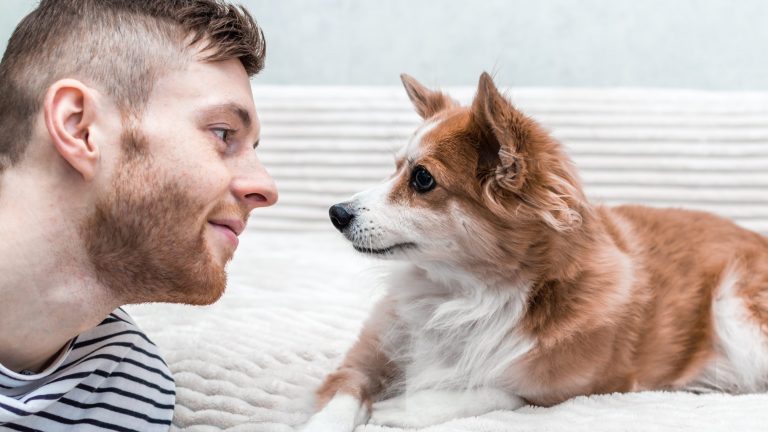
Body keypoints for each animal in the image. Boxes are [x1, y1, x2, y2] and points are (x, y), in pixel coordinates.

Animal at [302, 72, 768, 430]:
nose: (335, 213)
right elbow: (343, 395)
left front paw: (404, 407)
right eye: (395, 169)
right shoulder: (363, 361)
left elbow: (497, 389)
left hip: (738, 316)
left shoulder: (585, 387)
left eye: (422, 179)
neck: (463, 293)